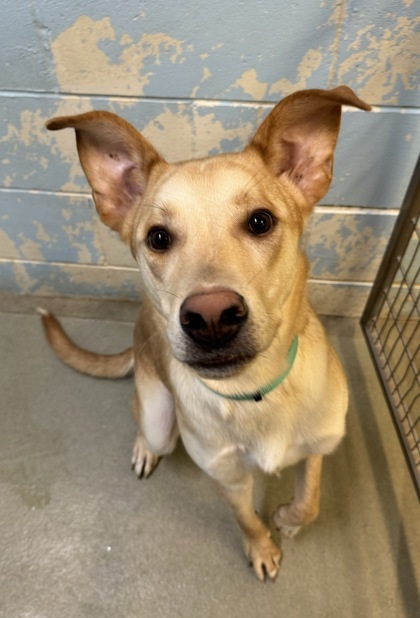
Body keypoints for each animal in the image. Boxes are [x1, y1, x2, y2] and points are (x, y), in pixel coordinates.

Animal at [40, 85, 370, 576]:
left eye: (260, 221)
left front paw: (287, 521)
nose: (211, 317)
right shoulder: (228, 477)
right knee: (145, 424)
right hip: (158, 415)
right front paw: (262, 547)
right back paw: (145, 448)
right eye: (158, 237)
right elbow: (246, 518)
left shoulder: (319, 445)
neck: (256, 393)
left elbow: (309, 500)